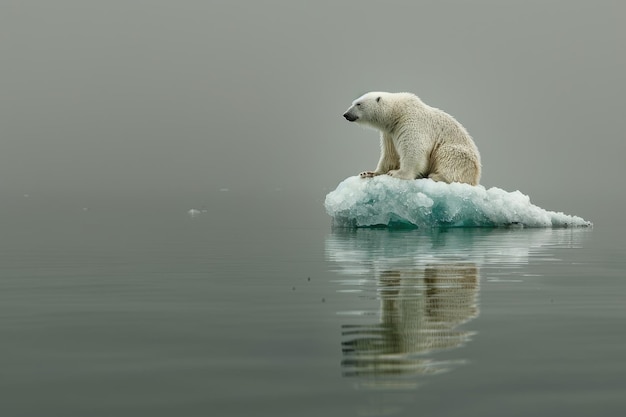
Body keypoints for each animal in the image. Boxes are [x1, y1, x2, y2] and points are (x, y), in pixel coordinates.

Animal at [344, 93, 480, 186]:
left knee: (448, 155)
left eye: (358, 104)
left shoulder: (410, 121)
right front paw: (369, 173)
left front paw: (397, 173)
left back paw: (436, 176)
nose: (345, 114)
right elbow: (390, 154)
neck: (397, 112)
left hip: (460, 155)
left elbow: (413, 149)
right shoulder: (389, 132)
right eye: (353, 102)